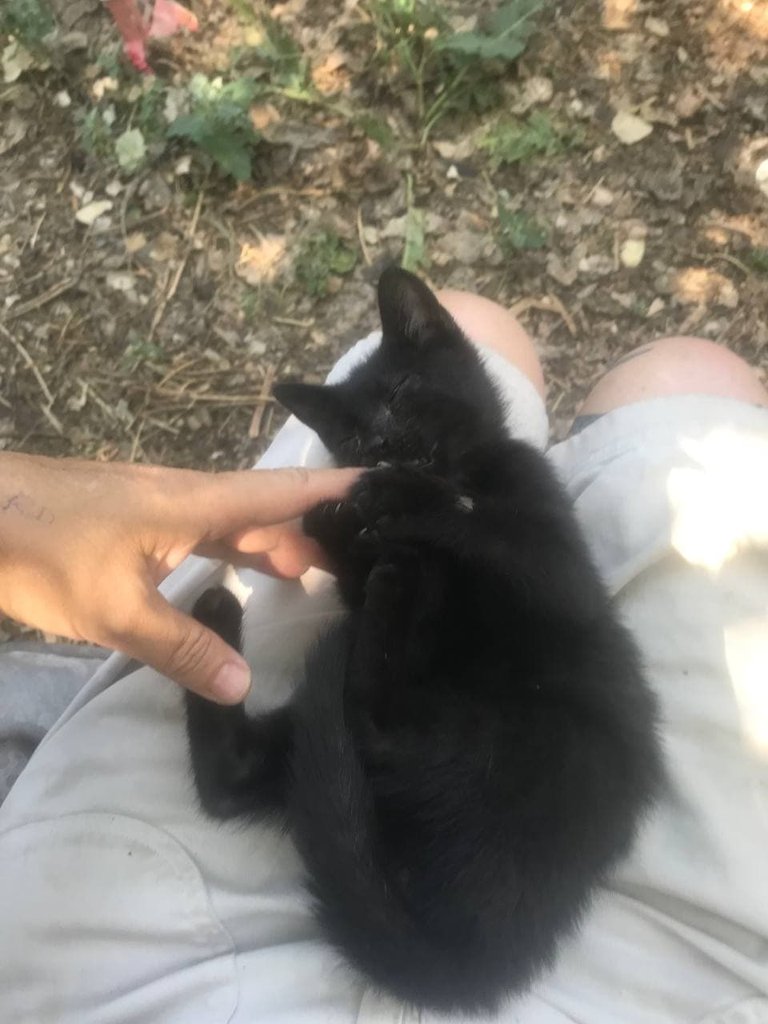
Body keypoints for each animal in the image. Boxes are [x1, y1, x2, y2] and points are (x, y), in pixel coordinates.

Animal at [188, 270, 667, 1015]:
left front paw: (400, 499)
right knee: (253, 771)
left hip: (522, 733)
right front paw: (341, 518)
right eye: (353, 435)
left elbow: (483, 524)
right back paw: (228, 616)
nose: (386, 446)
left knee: (369, 729)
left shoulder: (556, 567)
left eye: (405, 391)